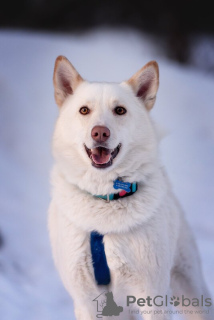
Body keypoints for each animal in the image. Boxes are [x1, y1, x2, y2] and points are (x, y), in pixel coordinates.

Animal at [48, 56, 211, 318]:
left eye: (120, 110)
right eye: (84, 110)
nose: (100, 132)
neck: (105, 197)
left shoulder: (152, 297)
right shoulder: (85, 300)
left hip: (191, 288)